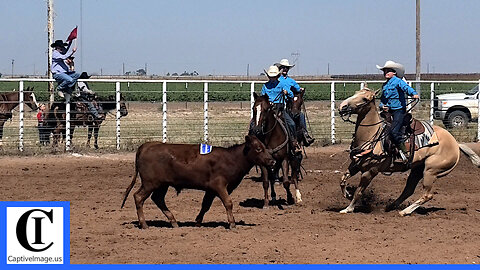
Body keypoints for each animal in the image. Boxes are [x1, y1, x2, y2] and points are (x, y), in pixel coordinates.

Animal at [121, 136, 274, 229]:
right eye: (259, 149)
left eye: (265, 147)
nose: (272, 161)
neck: (231, 159)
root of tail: (147, 146)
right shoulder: (219, 185)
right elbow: (228, 203)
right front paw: (232, 224)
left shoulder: (211, 189)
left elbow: (205, 205)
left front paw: (198, 222)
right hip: (150, 183)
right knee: (138, 197)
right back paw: (144, 224)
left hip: (162, 185)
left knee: (158, 199)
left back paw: (173, 222)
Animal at [340, 87, 478, 216]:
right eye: (356, 93)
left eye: (364, 99)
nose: (342, 106)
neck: (372, 134)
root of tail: (455, 144)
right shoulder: (356, 165)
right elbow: (343, 179)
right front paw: (347, 194)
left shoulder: (370, 171)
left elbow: (359, 191)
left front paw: (348, 209)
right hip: (417, 170)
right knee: (408, 190)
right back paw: (390, 206)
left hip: (430, 171)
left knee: (427, 195)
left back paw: (404, 211)